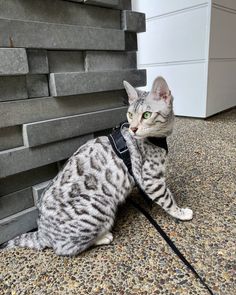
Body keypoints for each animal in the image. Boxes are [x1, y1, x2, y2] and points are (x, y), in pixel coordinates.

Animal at [0, 76, 193, 256]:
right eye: (130, 115)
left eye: (146, 115)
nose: (133, 128)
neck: (156, 139)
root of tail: (42, 233)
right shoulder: (150, 179)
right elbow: (167, 199)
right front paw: (181, 212)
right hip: (99, 208)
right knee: (64, 249)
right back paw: (103, 237)